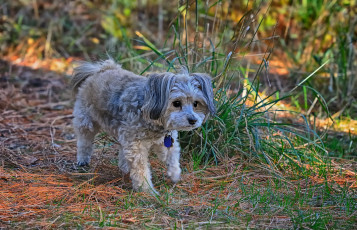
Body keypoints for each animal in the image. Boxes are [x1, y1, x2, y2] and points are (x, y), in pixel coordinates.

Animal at [70, 59, 214, 194]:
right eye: (176, 103)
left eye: (196, 103)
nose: (193, 120)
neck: (147, 109)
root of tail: (104, 68)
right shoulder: (136, 145)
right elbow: (141, 170)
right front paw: (147, 190)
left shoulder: (165, 141)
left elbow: (173, 157)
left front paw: (175, 175)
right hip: (86, 121)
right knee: (84, 141)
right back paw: (83, 159)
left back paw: (124, 166)